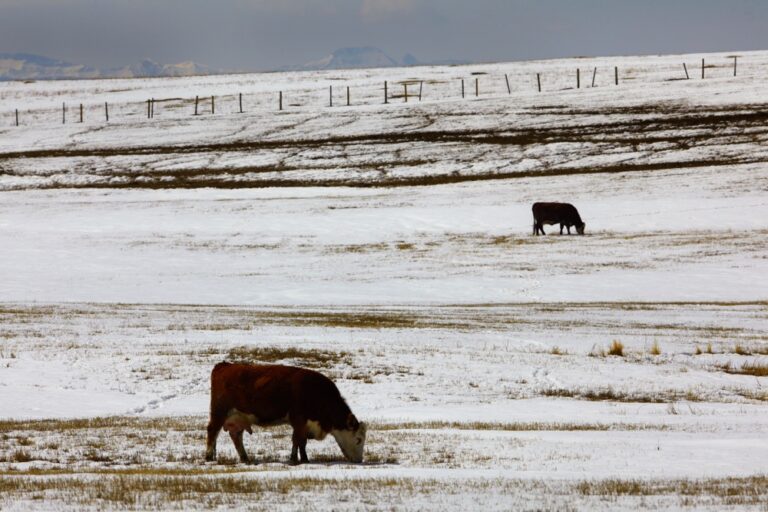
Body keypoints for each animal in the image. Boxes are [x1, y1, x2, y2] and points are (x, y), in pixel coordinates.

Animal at [205, 362, 367, 465]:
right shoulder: (298, 420)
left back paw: (245, 458)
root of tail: (224, 365)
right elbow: (297, 440)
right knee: (212, 431)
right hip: (219, 414)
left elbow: (302, 442)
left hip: (237, 419)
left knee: (236, 436)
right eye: (358, 439)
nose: (359, 460)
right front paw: (295, 459)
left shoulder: (304, 425)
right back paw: (208, 458)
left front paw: (304, 458)